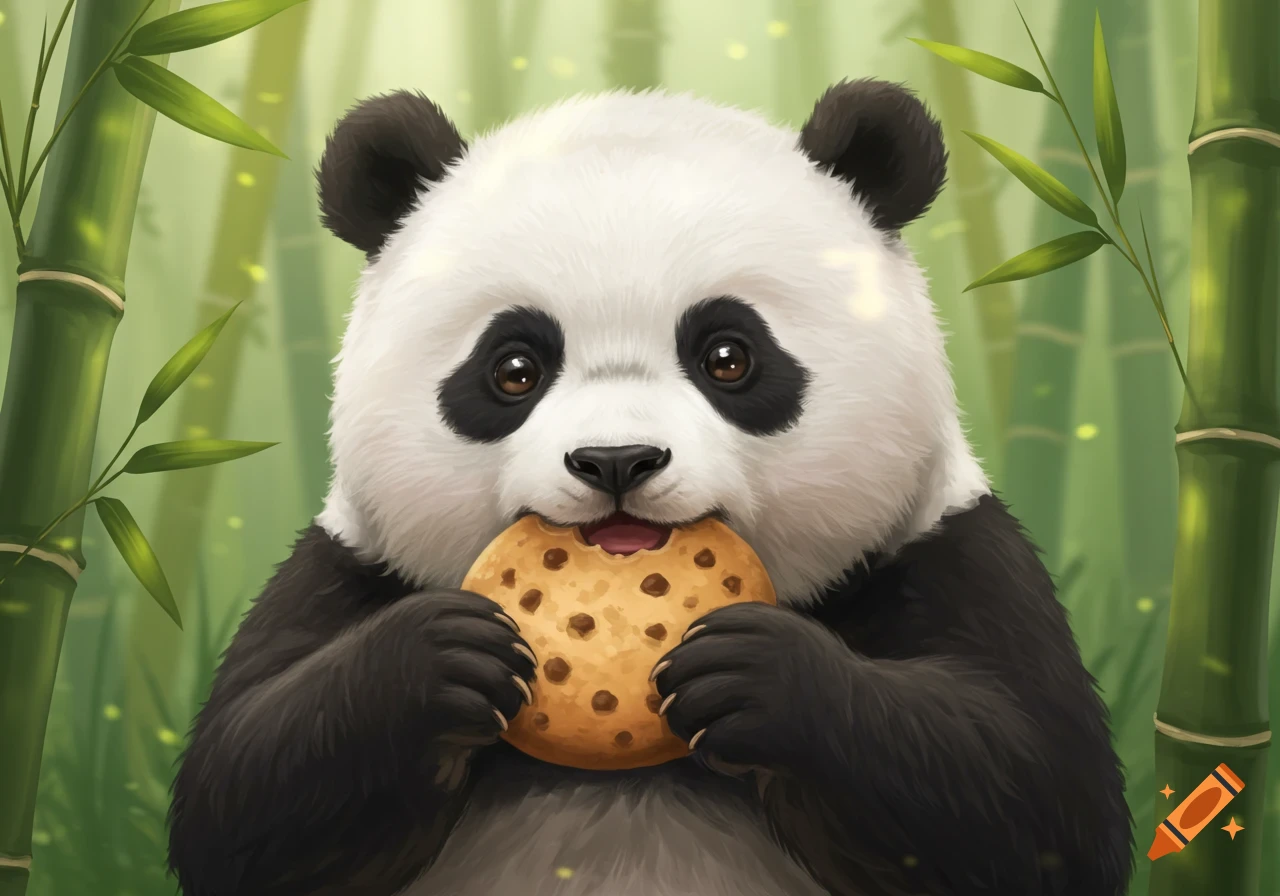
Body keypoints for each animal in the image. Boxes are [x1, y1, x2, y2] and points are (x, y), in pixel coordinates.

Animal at [167, 80, 1134, 896]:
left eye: (729, 356)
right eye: (513, 368)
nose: (617, 460)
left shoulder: (943, 549)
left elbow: (1034, 800)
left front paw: (759, 676)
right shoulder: (350, 568)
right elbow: (243, 794)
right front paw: (440, 659)